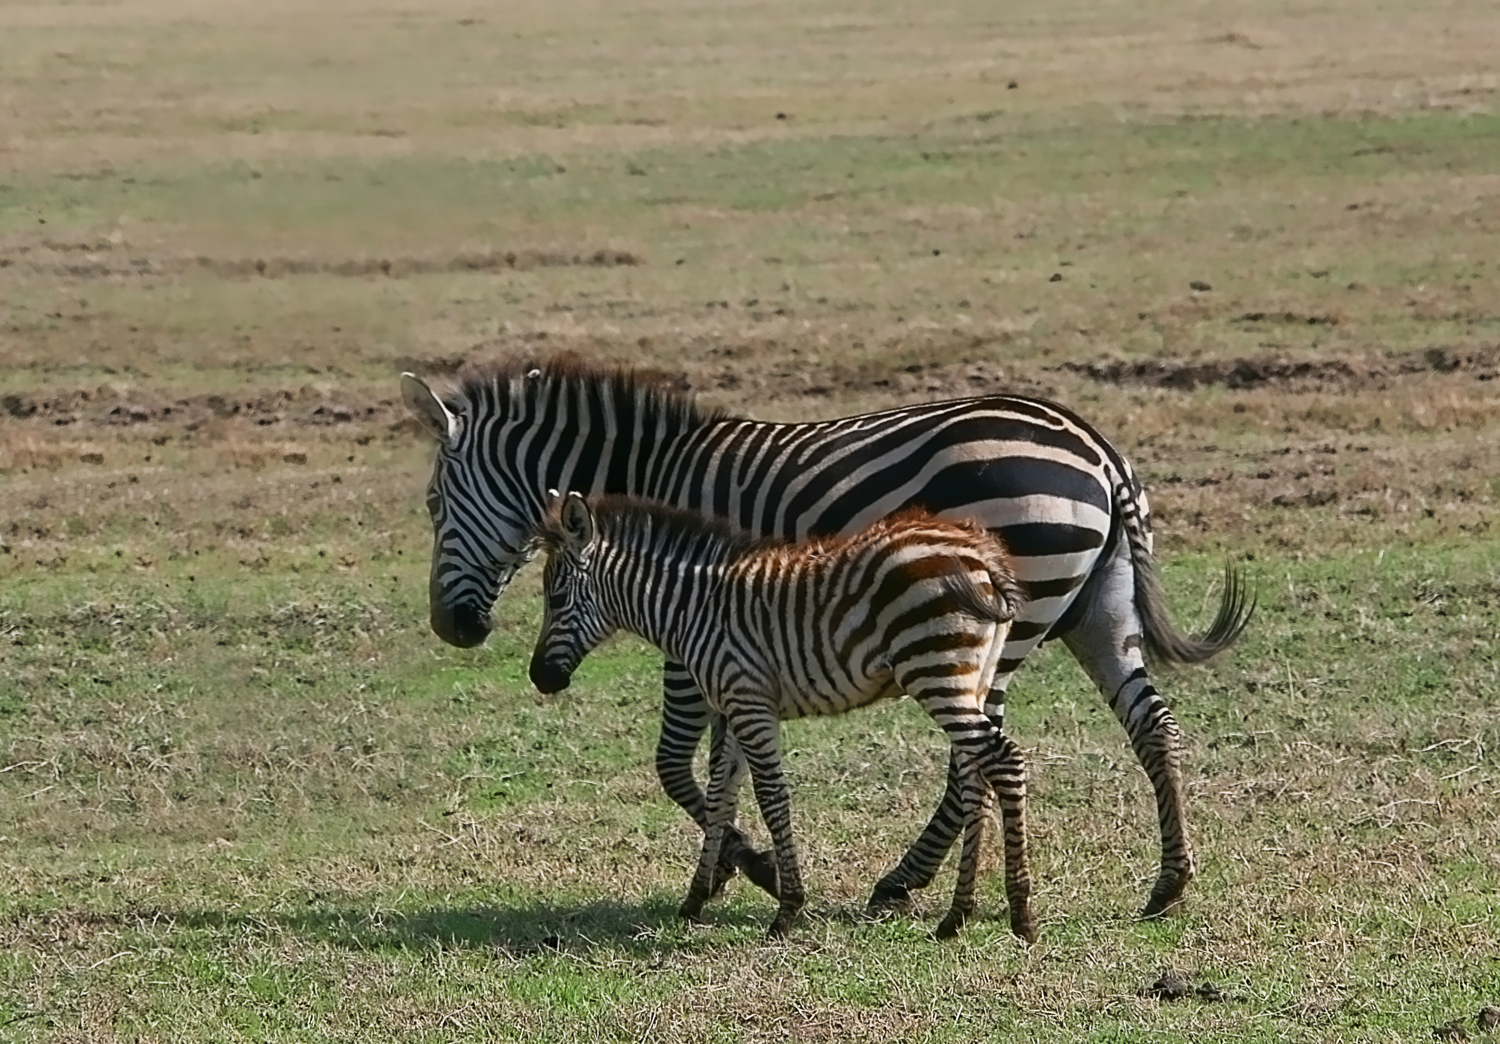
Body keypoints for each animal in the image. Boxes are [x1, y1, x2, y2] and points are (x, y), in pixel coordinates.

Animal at [525, 492, 1032, 942]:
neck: (694, 609)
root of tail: (981, 551)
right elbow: (720, 798)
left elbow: (771, 797)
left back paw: (1020, 914)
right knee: (975, 777)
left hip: (934, 671)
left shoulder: (749, 702)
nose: (539, 678)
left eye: (558, 596)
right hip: (971, 677)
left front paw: (787, 910)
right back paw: (956, 917)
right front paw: (695, 899)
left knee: (1004, 761)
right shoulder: (733, 705)